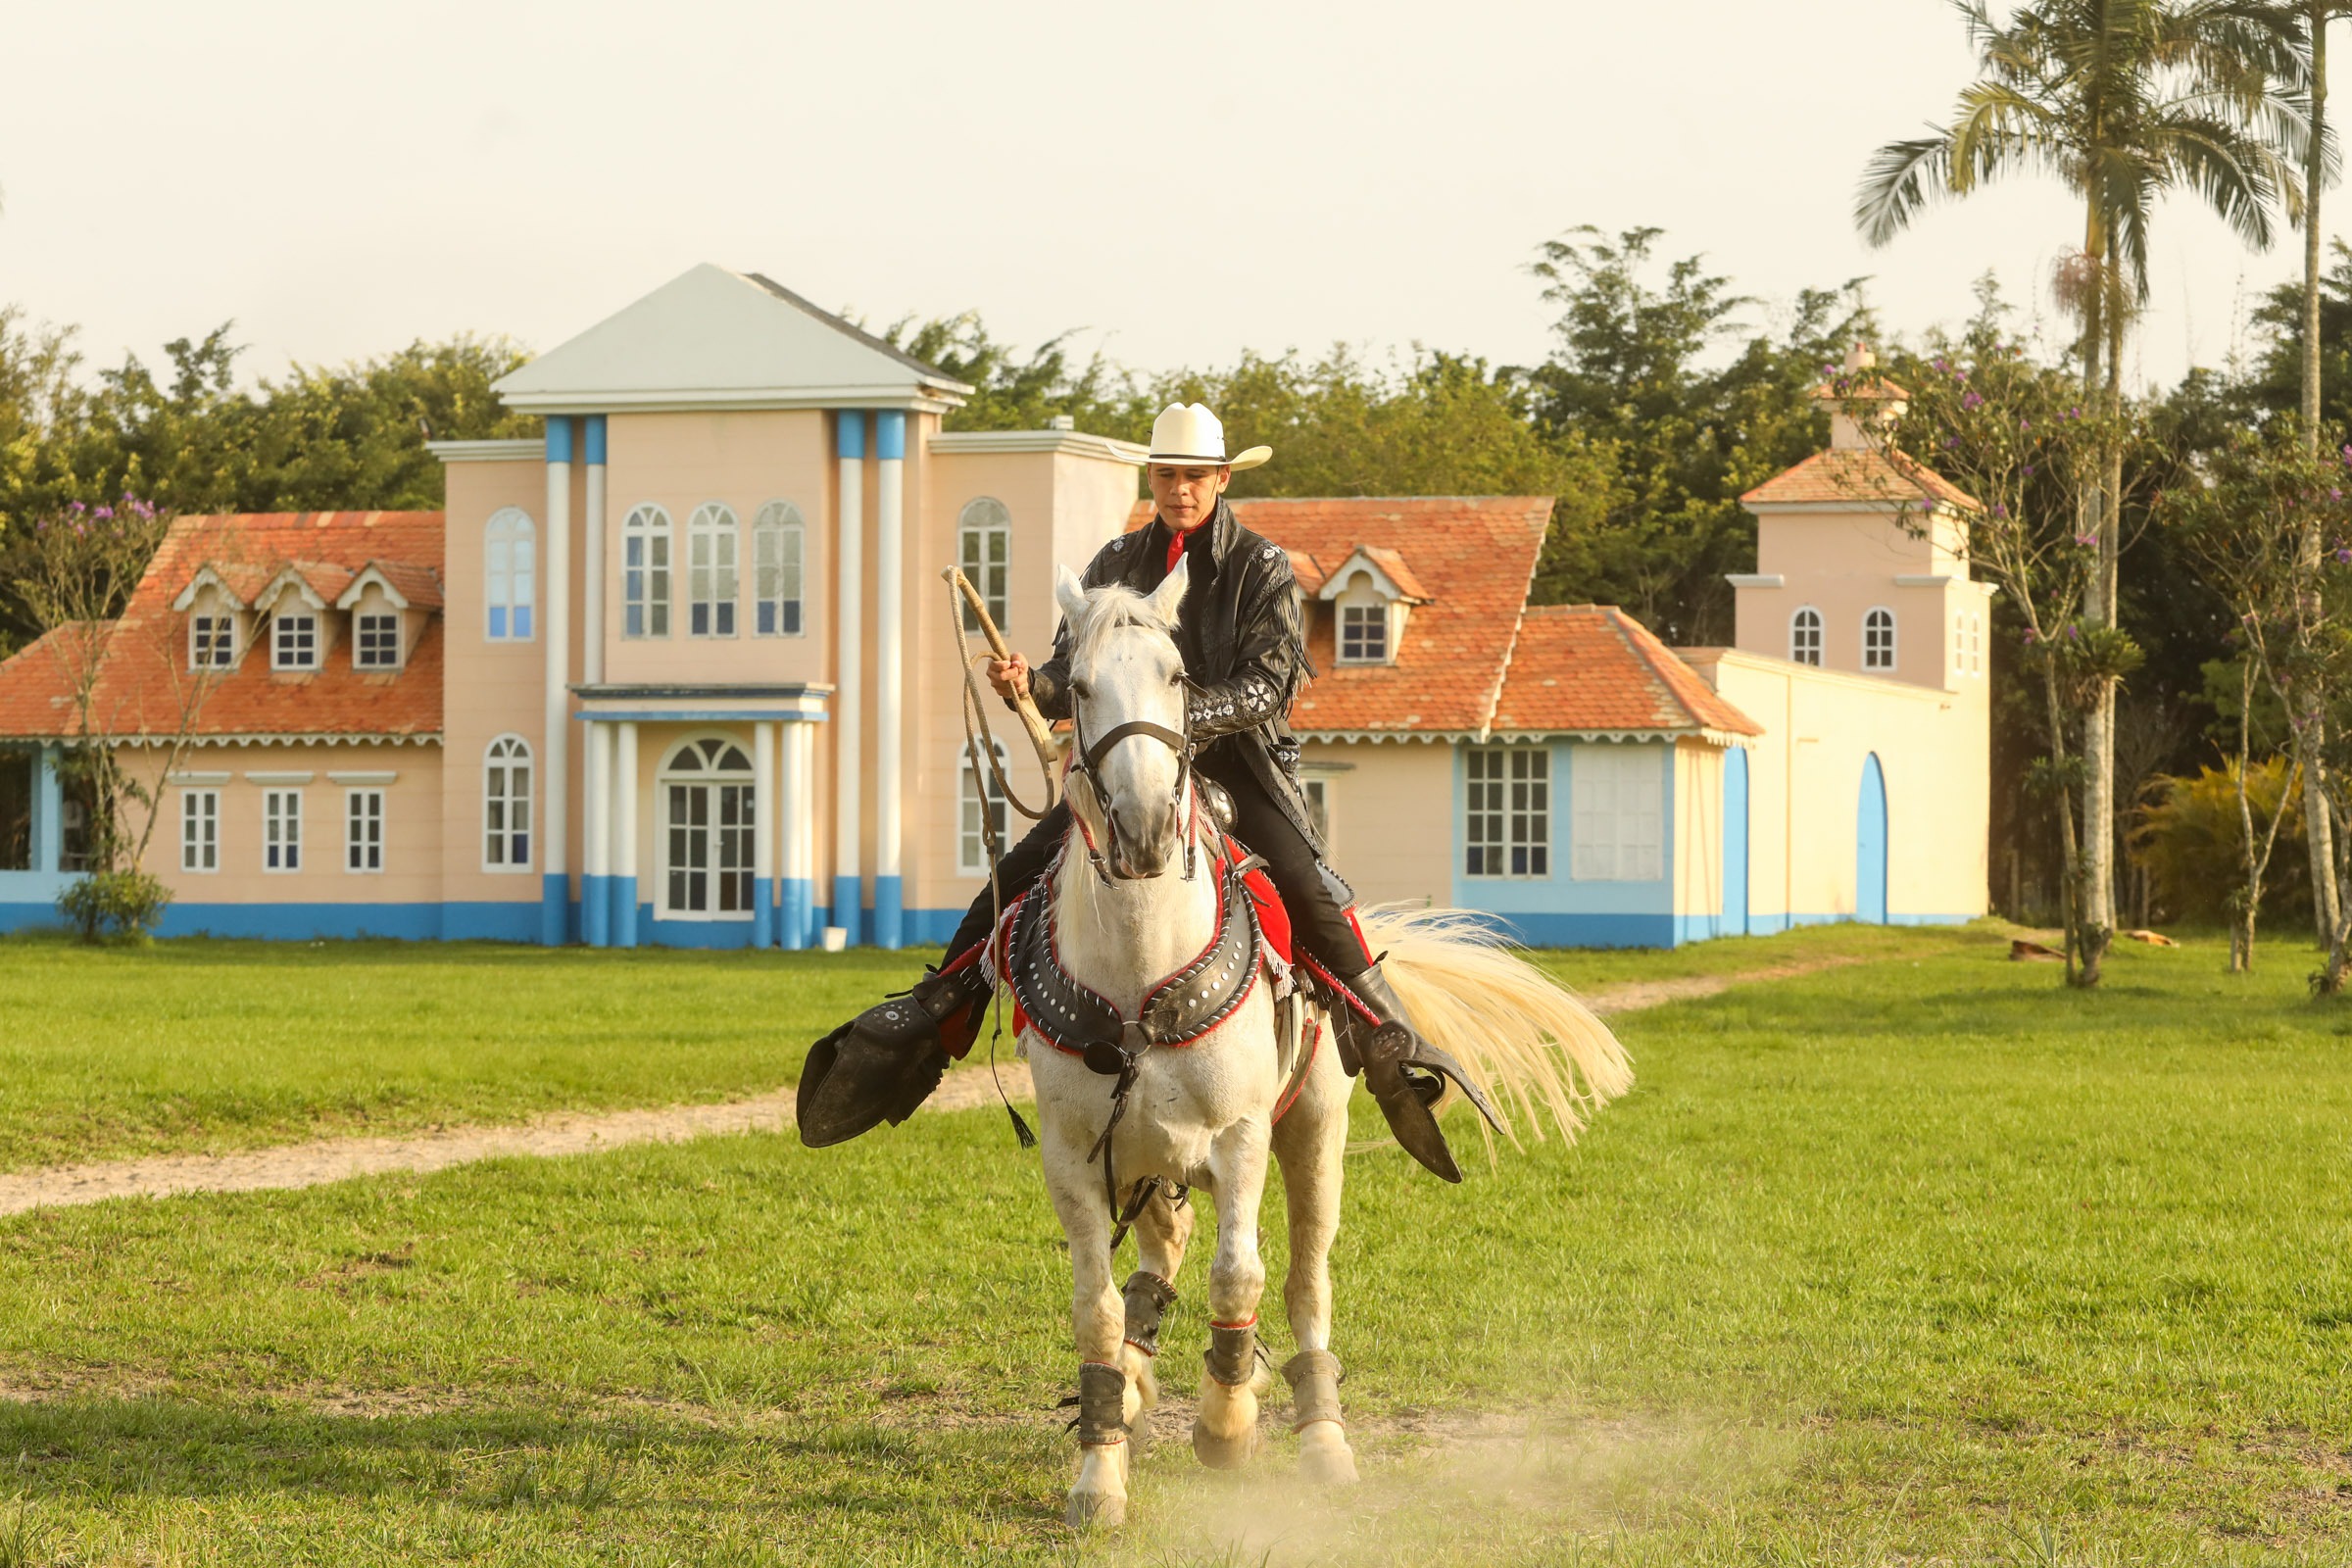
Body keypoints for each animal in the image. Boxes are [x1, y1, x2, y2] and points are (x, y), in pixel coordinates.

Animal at [1011, 557, 1637, 1523]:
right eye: (1075, 686)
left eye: (1178, 677)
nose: (1145, 829)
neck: (1138, 967)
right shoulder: (1076, 1155)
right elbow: (1099, 1311)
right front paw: (1100, 1471)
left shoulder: (1239, 1136)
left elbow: (1242, 1278)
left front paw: (1226, 1424)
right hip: (1149, 1156)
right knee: (1162, 1260)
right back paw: (1144, 1388)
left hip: (1314, 1135)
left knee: (1304, 1279)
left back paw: (1321, 1438)